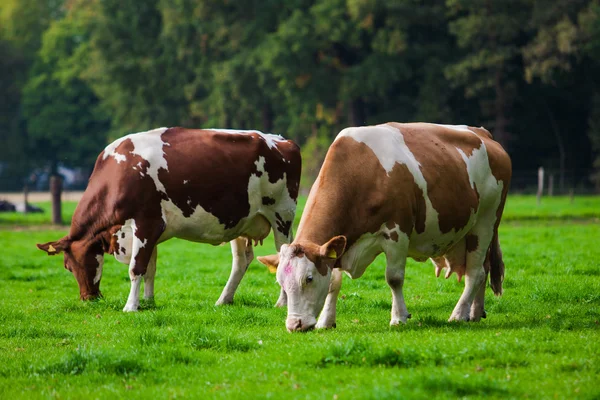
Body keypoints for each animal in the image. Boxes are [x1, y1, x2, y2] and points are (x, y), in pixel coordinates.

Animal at [37, 126, 300, 310]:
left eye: (71, 265)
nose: (88, 298)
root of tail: (281, 140)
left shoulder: (146, 224)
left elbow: (136, 268)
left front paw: (130, 306)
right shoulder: (149, 231)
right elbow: (150, 269)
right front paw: (148, 302)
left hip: (281, 216)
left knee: (283, 255)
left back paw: (282, 303)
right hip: (241, 222)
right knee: (241, 261)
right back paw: (224, 300)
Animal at [258, 122, 510, 332]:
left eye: (308, 279)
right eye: (281, 282)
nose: (295, 325)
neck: (362, 171)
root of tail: (482, 133)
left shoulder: (397, 233)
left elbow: (394, 278)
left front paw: (399, 317)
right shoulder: (342, 241)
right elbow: (333, 283)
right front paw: (326, 321)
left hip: (485, 223)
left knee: (475, 273)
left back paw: (458, 314)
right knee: (484, 269)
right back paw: (474, 312)